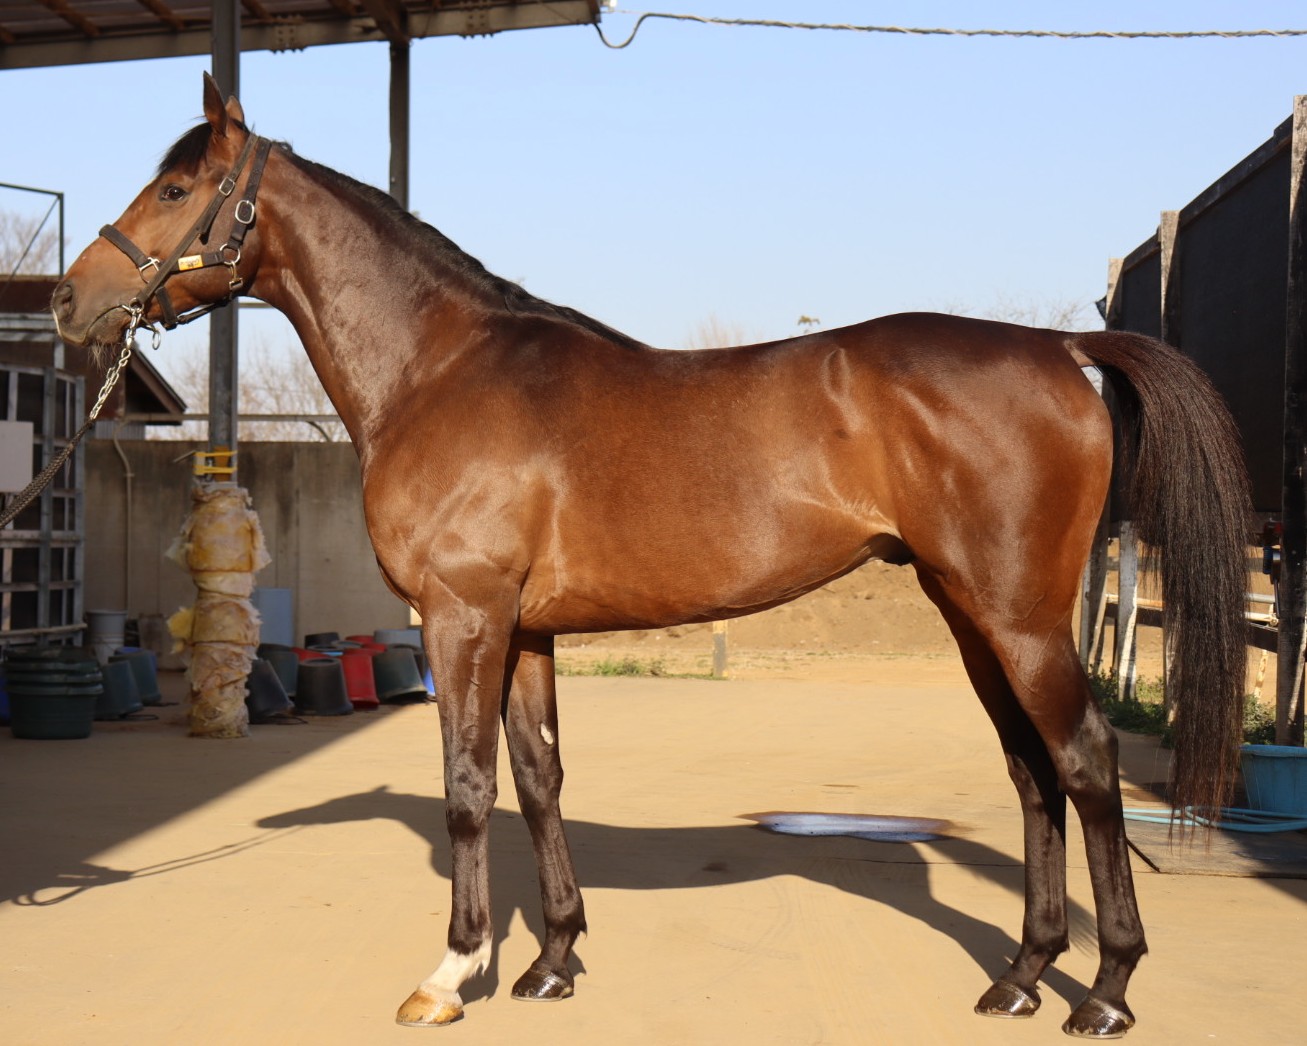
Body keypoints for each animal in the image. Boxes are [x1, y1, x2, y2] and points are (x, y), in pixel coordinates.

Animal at [52, 74, 1251, 1038]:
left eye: (176, 189)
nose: (71, 301)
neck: (441, 369)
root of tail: (1059, 344)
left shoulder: (463, 615)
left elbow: (465, 784)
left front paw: (451, 971)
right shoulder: (525, 628)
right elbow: (536, 776)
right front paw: (551, 960)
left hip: (1016, 617)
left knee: (1084, 761)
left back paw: (1106, 991)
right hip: (971, 614)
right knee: (1030, 771)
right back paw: (1019, 977)